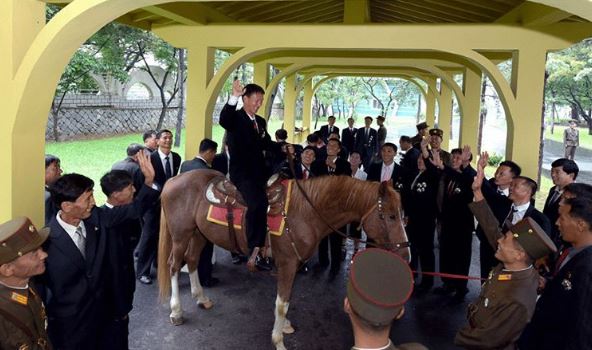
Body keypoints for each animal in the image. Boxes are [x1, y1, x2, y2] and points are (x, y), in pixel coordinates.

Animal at [155, 168, 410, 348]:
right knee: (174, 265)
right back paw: (176, 311)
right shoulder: (287, 264)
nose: (406, 253)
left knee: (192, 260)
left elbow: (287, 299)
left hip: (199, 234)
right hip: (181, 235)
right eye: (390, 216)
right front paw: (278, 340)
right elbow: (282, 303)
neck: (304, 211)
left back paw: (201, 298)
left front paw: (284, 326)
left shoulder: (293, 266)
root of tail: (173, 180)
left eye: (402, 215)